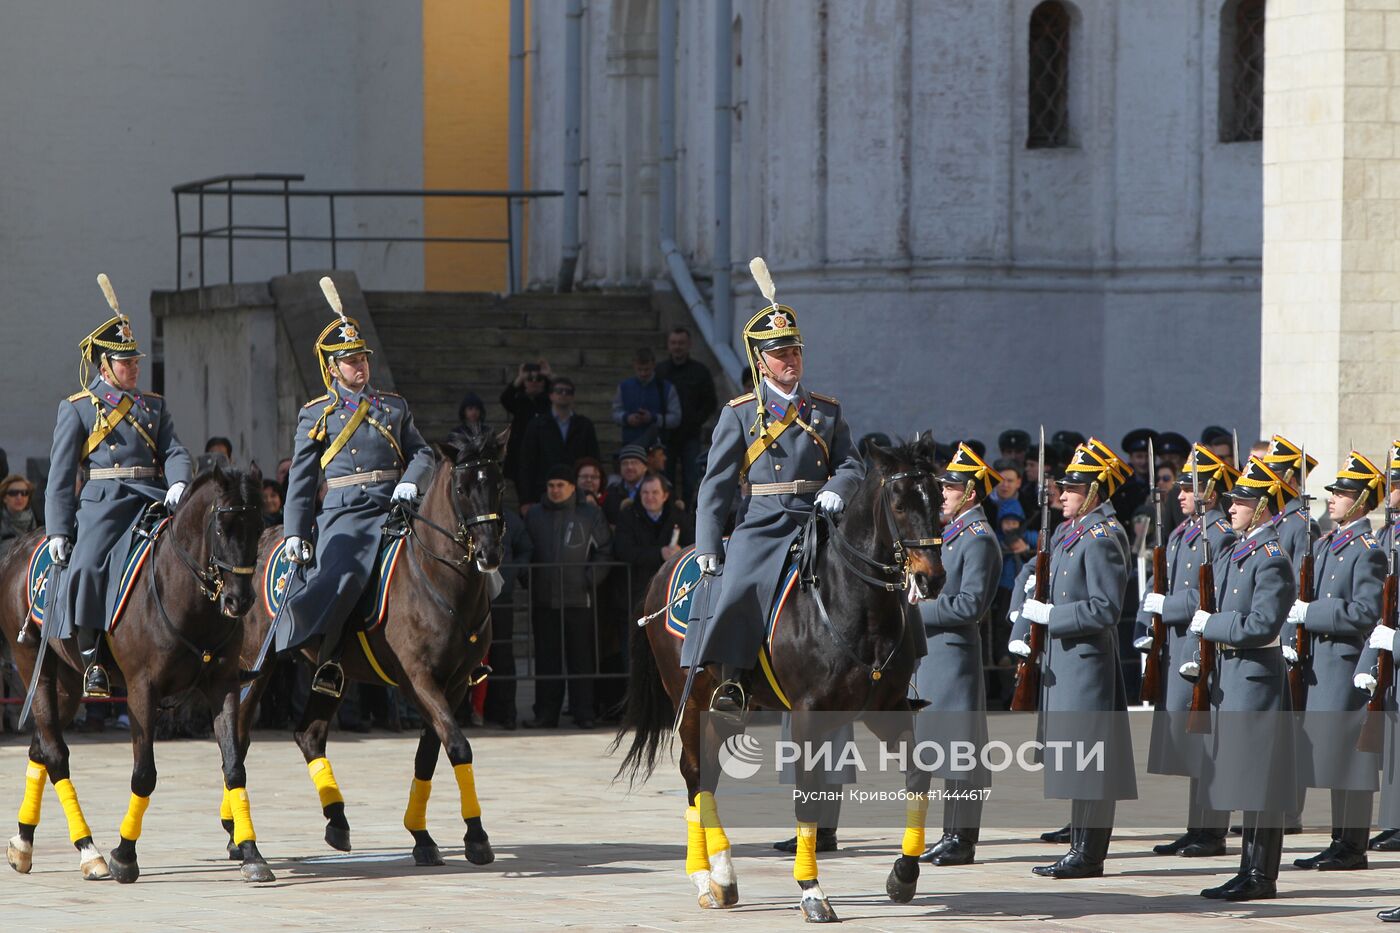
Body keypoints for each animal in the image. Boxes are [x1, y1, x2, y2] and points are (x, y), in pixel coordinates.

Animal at [0, 467, 270, 885]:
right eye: (222, 527)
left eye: (258, 527)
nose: (239, 601)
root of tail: (20, 546)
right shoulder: (143, 690)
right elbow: (144, 773)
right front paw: (124, 855)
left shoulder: (223, 685)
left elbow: (234, 767)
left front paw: (251, 852)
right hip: (34, 667)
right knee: (56, 755)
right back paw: (89, 850)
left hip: (66, 683)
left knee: (39, 749)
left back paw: (24, 842)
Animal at [236, 428, 509, 862]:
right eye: (462, 488)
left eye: (498, 485)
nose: (489, 553)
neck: (439, 578)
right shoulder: (418, 680)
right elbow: (458, 746)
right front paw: (476, 836)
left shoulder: (454, 684)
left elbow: (429, 755)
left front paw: (422, 836)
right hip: (255, 665)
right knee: (235, 732)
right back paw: (240, 840)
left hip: (330, 672)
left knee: (309, 735)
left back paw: (336, 821)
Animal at [618, 439, 946, 918]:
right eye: (900, 504)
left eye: (939, 500)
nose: (931, 578)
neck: (855, 604)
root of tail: (669, 566)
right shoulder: (809, 714)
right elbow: (806, 795)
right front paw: (811, 890)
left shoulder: (887, 709)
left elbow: (919, 778)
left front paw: (903, 874)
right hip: (692, 700)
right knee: (695, 775)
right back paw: (708, 877)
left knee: (708, 775)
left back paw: (721, 878)